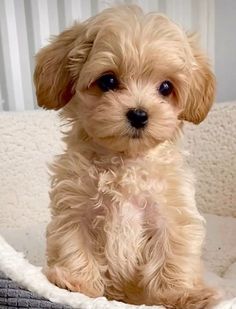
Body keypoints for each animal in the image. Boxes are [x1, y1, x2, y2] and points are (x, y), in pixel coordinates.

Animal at [34, 5, 219, 308]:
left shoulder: (172, 215)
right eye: (108, 80)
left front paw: (182, 294)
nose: (139, 114)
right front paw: (76, 284)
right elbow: (75, 246)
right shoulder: (75, 210)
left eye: (166, 87)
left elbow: (173, 255)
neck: (125, 162)